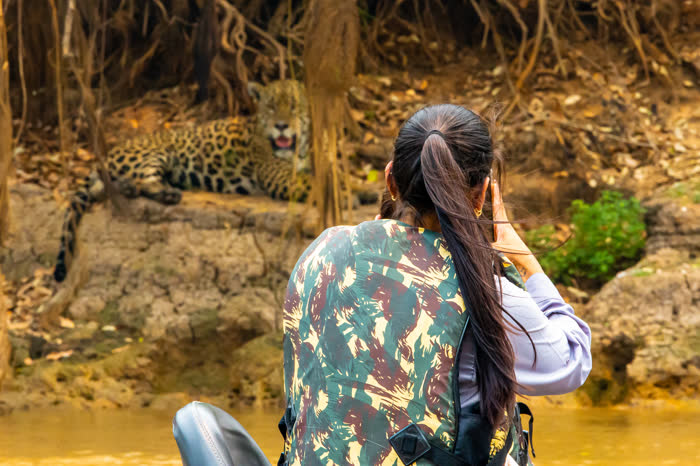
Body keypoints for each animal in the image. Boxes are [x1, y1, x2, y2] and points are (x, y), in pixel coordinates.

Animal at [53, 79, 312, 282]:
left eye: (293, 107)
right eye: (270, 107)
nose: (281, 126)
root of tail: (106, 156)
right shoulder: (281, 177)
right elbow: (313, 185)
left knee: (108, 187)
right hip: (159, 152)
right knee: (136, 180)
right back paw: (164, 193)